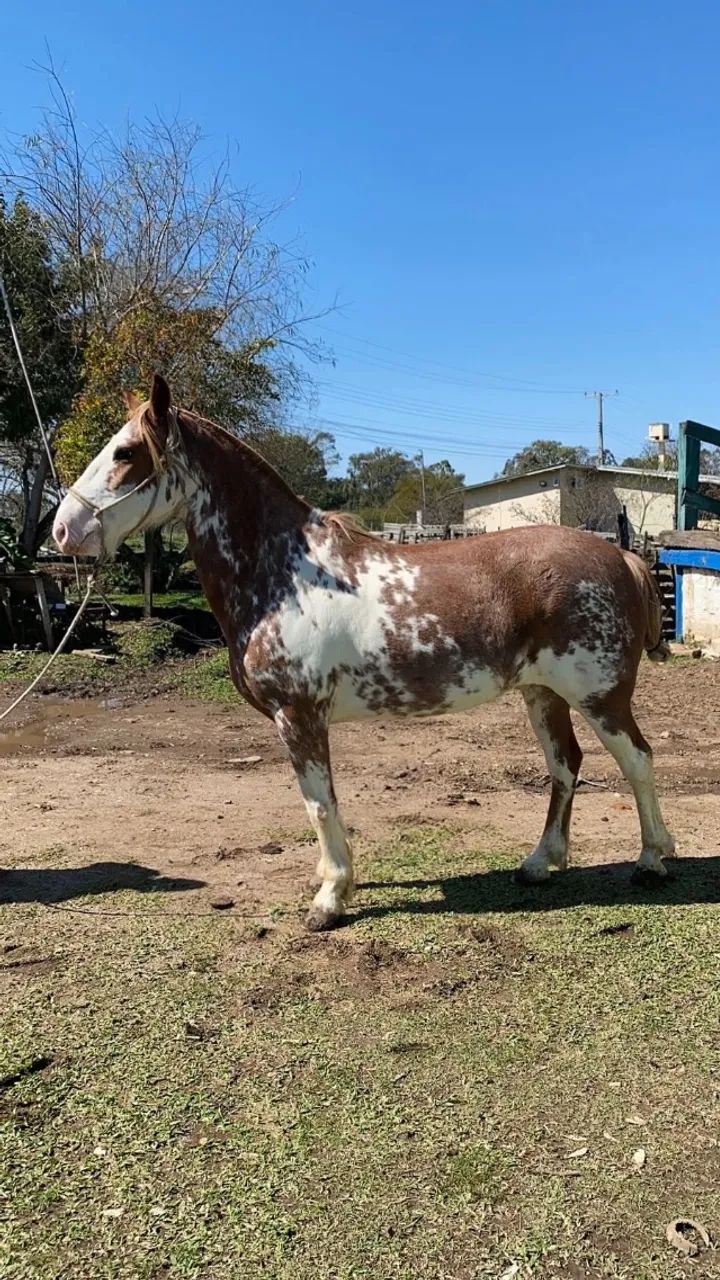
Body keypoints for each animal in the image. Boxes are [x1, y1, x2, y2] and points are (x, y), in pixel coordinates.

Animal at [53, 374, 676, 931]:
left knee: (638, 760)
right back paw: (541, 862)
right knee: (565, 765)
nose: (64, 530)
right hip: (543, 694)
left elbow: (320, 803)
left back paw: (651, 860)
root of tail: (622, 558)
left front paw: (330, 899)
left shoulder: (299, 715)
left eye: (125, 452)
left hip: (600, 697)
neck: (287, 573)